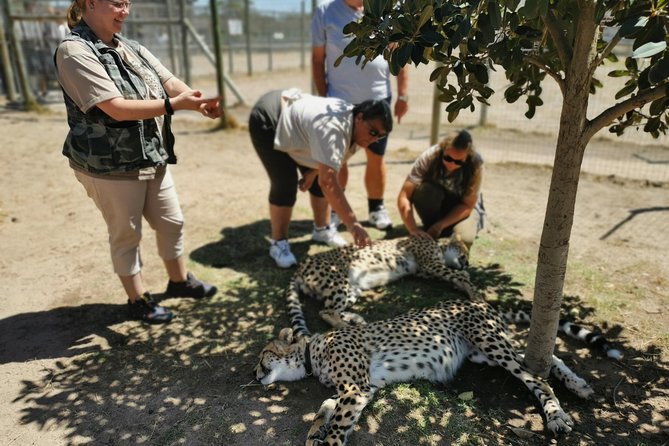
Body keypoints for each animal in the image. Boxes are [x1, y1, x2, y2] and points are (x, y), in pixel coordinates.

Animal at [253, 300, 620, 446]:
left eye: (262, 356)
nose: (255, 374)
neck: (312, 353)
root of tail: (479, 301)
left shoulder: (356, 388)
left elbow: (337, 423)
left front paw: (326, 439)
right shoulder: (362, 389)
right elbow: (324, 410)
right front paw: (314, 433)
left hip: (489, 342)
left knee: (536, 377)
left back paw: (557, 416)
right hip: (484, 352)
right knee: (545, 359)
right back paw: (580, 385)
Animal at [284, 235, 478, 336]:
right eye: (464, 252)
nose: (467, 263)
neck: (439, 245)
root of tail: (301, 265)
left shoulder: (425, 271)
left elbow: (456, 276)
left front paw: (462, 284)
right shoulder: (431, 265)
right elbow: (459, 275)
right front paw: (476, 295)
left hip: (352, 289)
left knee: (333, 309)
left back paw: (356, 320)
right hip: (338, 281)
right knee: (326, 311)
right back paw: (349, 328)